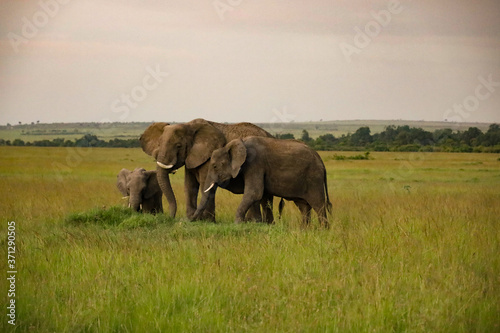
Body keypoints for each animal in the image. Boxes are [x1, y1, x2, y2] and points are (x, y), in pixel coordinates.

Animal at [139, 118, 276, 222]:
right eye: (159, 144)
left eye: (178, 146)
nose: (170, 217)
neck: (188, 126)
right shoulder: (192, 157)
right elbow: (189, 186)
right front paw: (192, 218)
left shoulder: (209, 157)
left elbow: (205, 185)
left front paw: (206, 221)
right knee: (265, 197)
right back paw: (265, 223)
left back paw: (253, 222)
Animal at [195, 136, 332, 227]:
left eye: (214, 166)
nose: (191, 220)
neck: (240, 143)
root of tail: (320, 159)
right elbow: (261, 197)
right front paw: (261, 224)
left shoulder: (255, 164)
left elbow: (254, 193)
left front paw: (238, 224)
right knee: (303, 206)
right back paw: (304, 230)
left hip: (314, 178)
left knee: (318, 204)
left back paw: (323, 230)